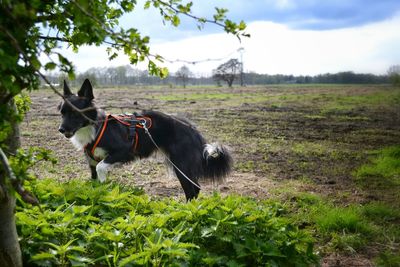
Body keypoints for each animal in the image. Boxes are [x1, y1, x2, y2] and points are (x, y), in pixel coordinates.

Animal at [57, 79, 233, 201]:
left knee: (193, 189)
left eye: (75, 113)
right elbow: (94, 178)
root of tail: (192, 129)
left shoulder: (124, 150)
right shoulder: (92, 162)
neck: (96, 127)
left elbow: (102, 167)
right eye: (62, 113)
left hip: (181, 164)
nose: (61, 129)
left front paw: (104, 186)